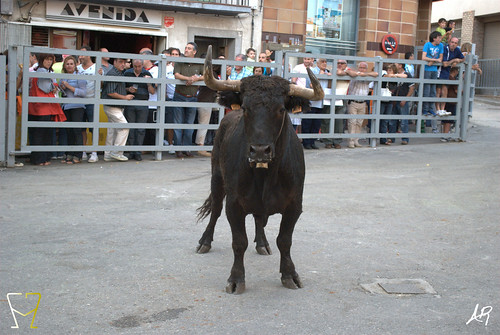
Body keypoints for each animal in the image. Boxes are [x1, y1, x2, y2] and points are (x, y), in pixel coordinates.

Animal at [195, 46, 324, 294]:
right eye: (246, 108)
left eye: (281, 109)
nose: (260, 151)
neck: (266, 176)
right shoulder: (234, 205)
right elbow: (239, 242)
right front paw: (236, 279)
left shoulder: (295, 205)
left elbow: (284, 240)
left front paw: (290, 274)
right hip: (217, 179)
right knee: (215, 210)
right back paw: (204, 242)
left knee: (258, 219)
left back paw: (263, 243)